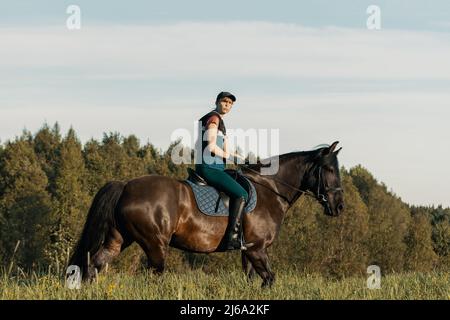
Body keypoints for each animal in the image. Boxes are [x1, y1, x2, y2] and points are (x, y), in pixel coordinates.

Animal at [68, 141, 344, 286]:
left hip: (120, 238)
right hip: (155, 243)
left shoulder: (249, 251)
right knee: (153, 274)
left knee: (95, 263)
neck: (270, 189)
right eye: (330, 169)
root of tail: (125, 186)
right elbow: (269, 279)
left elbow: (253, 280)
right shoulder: (257, 249)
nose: (339, 206)